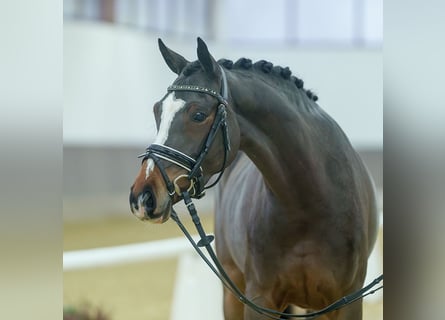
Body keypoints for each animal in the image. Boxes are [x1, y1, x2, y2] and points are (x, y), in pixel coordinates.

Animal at [129, 38, 378, 320]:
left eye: (198, 115)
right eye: (157, 110)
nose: (143, 197)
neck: (309, 203)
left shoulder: (346, 302)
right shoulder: (259, 299)